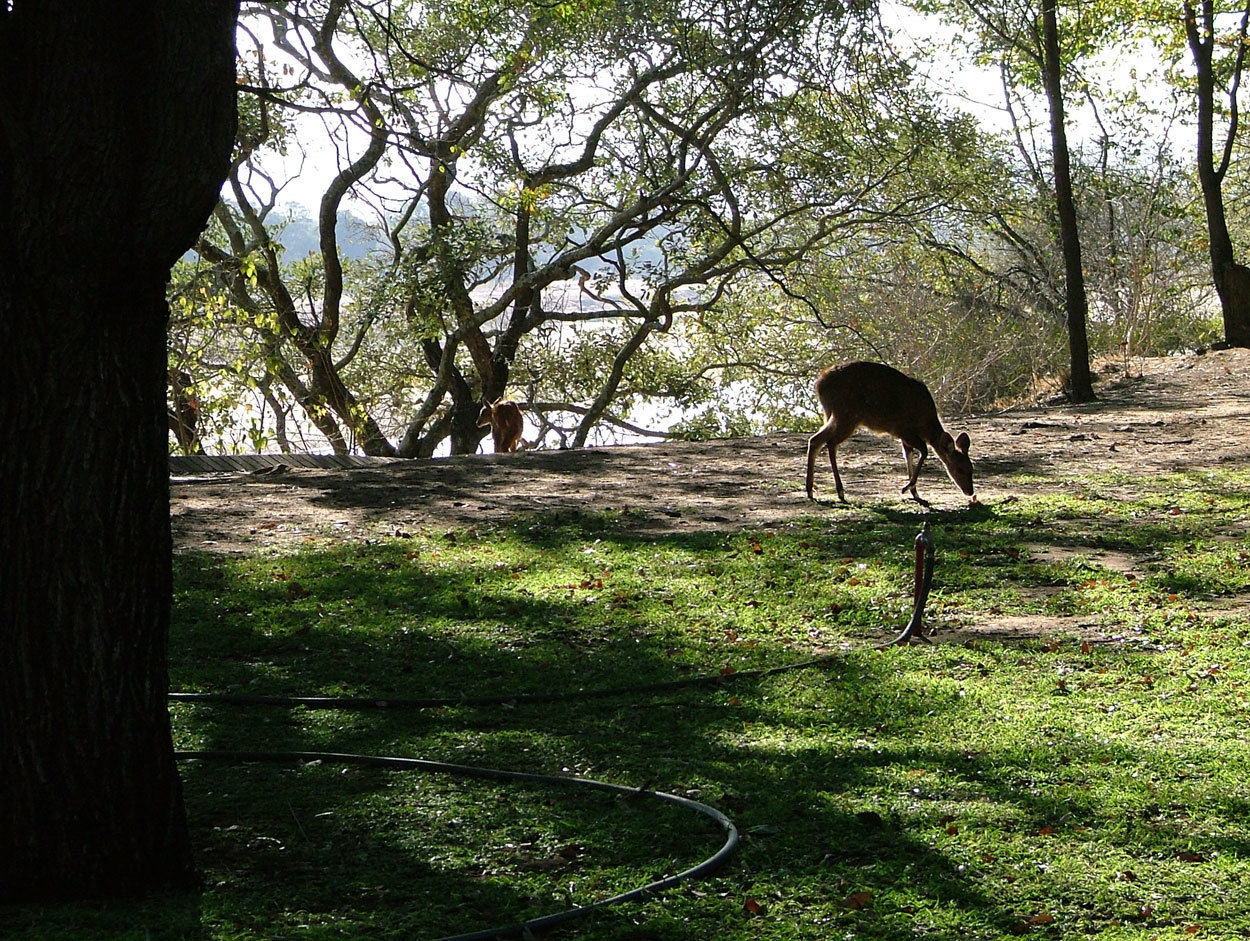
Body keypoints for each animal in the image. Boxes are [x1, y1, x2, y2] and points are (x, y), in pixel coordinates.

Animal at [805, 359, 970, 507]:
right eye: (960, 469)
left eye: (971, 469)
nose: (970, 491)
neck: (926, 425)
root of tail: (819, 384)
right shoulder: (905, 431)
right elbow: (924, 451)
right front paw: (906, 488)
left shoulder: (904, 437)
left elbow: (908, 456)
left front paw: (915, 494)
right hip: (847, 415)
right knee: (830, 442)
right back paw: (839, 491)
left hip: (832, 414)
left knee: (815, 440)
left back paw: (811, 490)